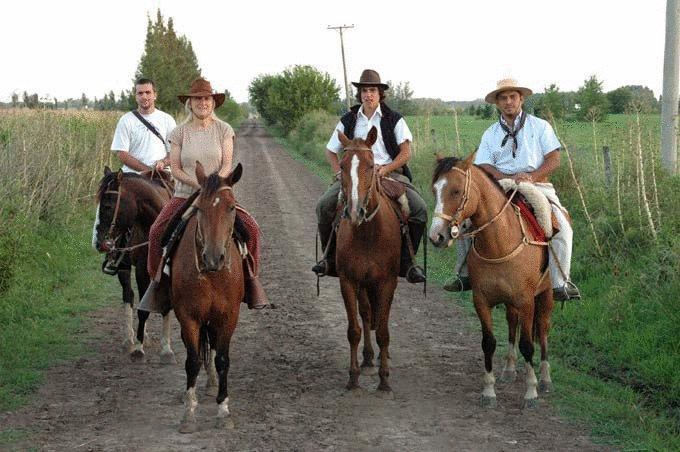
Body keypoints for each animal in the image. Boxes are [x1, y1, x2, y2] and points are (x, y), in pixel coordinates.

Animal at [91, 169, 177, 364]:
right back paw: (130, 339)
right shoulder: (140, 269)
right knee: (129, 295)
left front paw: (166, 349)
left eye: (108, 206)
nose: (97, 242)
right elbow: (140, 307)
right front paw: (138, 347)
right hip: (124, 266)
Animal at [171, 161, 246, 432]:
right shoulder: (188, 317)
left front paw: (223, 409)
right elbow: (192, 361)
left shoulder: (229, 316)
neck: (212, 275)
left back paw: (213, 384)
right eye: (200, 208)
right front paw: (188, 413)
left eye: (231, 207)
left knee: (213, 349)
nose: (214, 258)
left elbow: (222, 358)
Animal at [428, 153, 556, 410]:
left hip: (545, 296)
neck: (500, 243)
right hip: (510, 302)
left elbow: (528, 344)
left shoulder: (527, 301)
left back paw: (545, 378)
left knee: (543, 331)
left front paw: (531, 392)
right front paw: (489, 391)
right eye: (435, 189)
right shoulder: (482, 300)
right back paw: (509, 369)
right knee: (512, 324)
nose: (436, 236)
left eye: (456, 191)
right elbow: (488, 342)